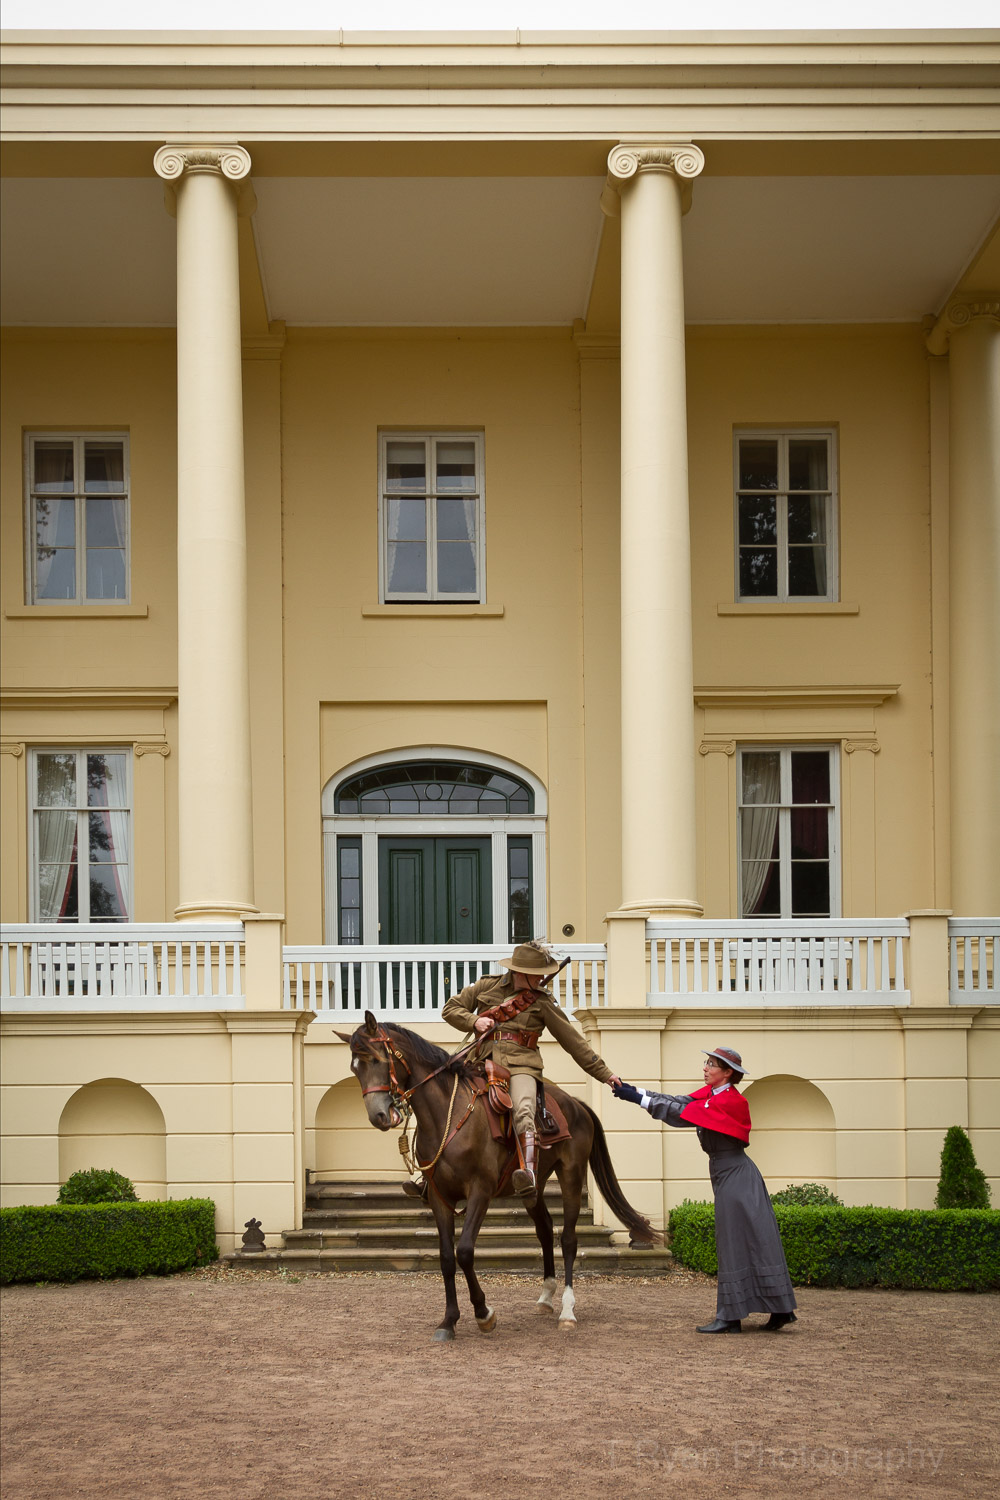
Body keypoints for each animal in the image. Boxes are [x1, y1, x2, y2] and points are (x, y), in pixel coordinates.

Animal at [340, 1014, 659, 1344]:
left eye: (376, 1059)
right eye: (354, 1068)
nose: (378, 1116)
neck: (446, 1115)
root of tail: (575, 1103)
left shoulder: (480, 1191)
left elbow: (465, 1251)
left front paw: (484, 1313)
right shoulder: (439, 1198)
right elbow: (446, 1257)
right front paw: (449, 1320)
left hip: (571, 1174)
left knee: (569, 1239)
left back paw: (567, 1311)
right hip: (532, 1185)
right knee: (545, 1230)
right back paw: (546, 1296)